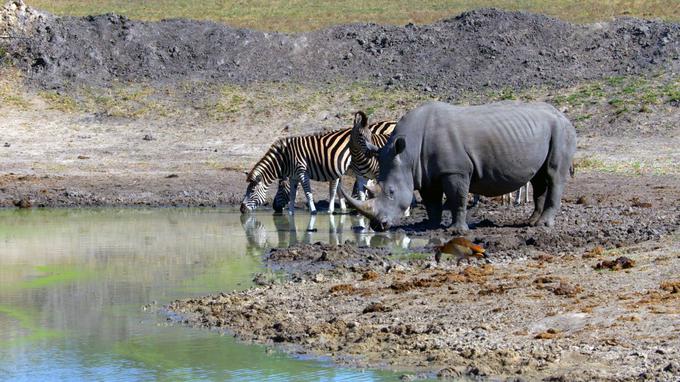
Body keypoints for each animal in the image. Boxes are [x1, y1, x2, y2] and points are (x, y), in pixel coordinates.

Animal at [240, 120, 396, 215]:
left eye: (252, 191)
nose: (241, 209)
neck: (286, 157)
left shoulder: (303, 171)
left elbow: (311, 192)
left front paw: (316, 211)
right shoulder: (297, 175)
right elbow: (336, 189)